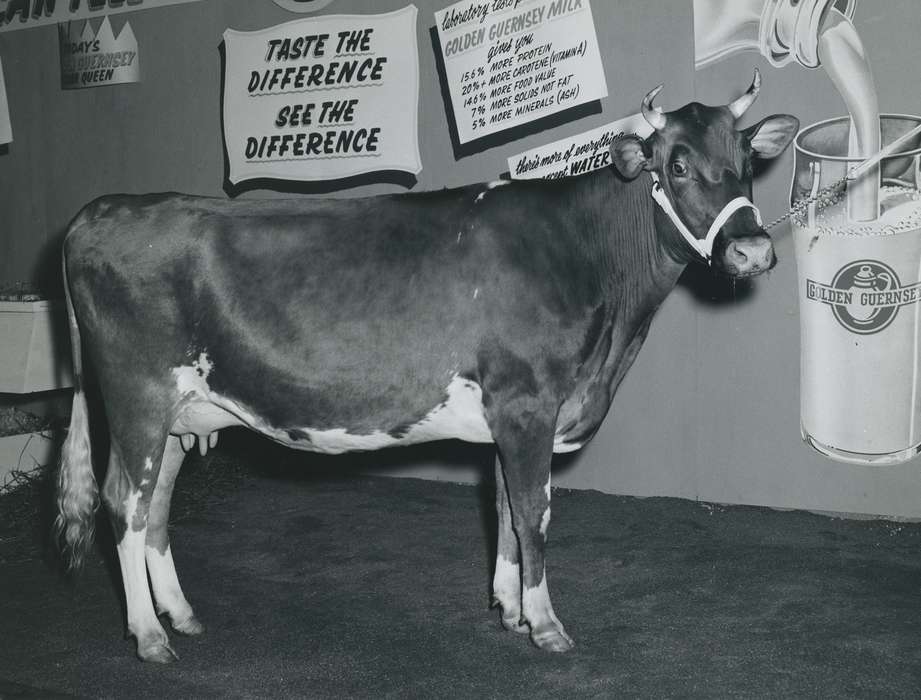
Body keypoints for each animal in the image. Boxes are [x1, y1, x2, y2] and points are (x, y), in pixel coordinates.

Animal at [55, 71, 798, 663]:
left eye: (744, 159)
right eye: (676, 166)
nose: (751, 251)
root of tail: (104, 209)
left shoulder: (508, 414)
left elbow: (503, 507)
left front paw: (509, 609)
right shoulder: (528, 402)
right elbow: (534, 512)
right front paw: (546, 625)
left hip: (181, 411)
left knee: (155, 504)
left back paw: (180, 615)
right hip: (138, 394)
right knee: (124, 503)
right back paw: (148, 636)